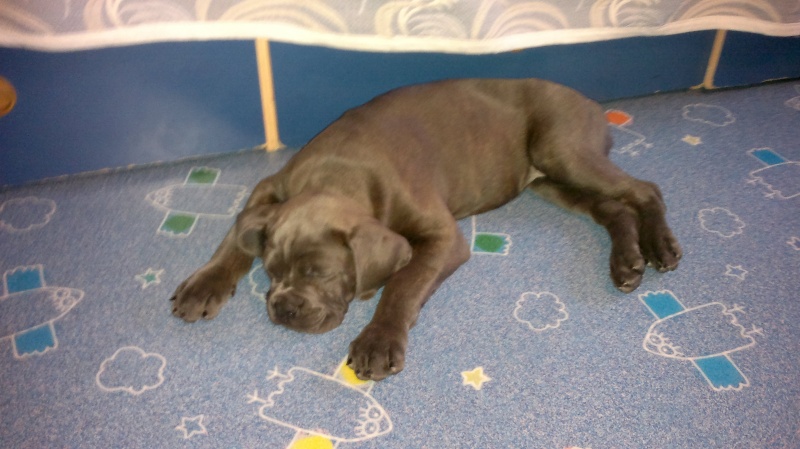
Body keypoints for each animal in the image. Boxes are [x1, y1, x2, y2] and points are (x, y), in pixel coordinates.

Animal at [170, 78, 681, 381]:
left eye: (319, 273)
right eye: (271, 272)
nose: (282, 309)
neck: (338, 172)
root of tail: (590, 101)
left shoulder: (443, 238)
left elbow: (403, 284)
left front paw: (378, 341)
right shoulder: (268, 189)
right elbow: (234, 236)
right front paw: (204, 284)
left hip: (564, 151)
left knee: (645, 190)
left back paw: (658, 246)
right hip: (550, 182)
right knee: (613, 209)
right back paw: (627, 263)